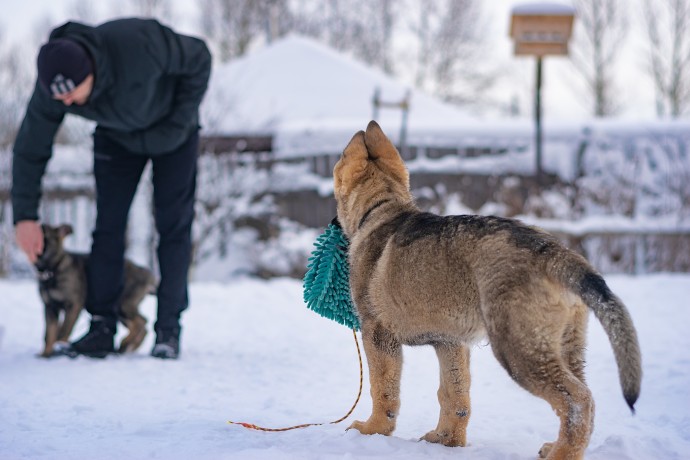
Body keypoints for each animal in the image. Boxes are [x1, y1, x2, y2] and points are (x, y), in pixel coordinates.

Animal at [35, 225, 156, 358]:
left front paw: (60, 346)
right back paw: (128, 347)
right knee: (142, 324)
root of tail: (145, 272)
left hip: (122, 305)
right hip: (121, 309)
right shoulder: (49, 307)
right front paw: (46, 353)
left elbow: (64, 330)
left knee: (140, 323)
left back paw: (125, 342)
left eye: (44, 235)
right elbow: (49, 332)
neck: (53, 269)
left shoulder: (73, 305)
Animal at [334, 121, 640, 460]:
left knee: (578, 400)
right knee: (584, 400)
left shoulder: (377, 333)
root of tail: (553, 252)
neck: (381, 209)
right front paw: (447, 440)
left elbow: (383, 388)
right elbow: (454, 396)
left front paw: (372, 430)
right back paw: (559, 446)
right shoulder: (450, 342)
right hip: (566, 346)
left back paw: (562, 454)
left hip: (519, 350)